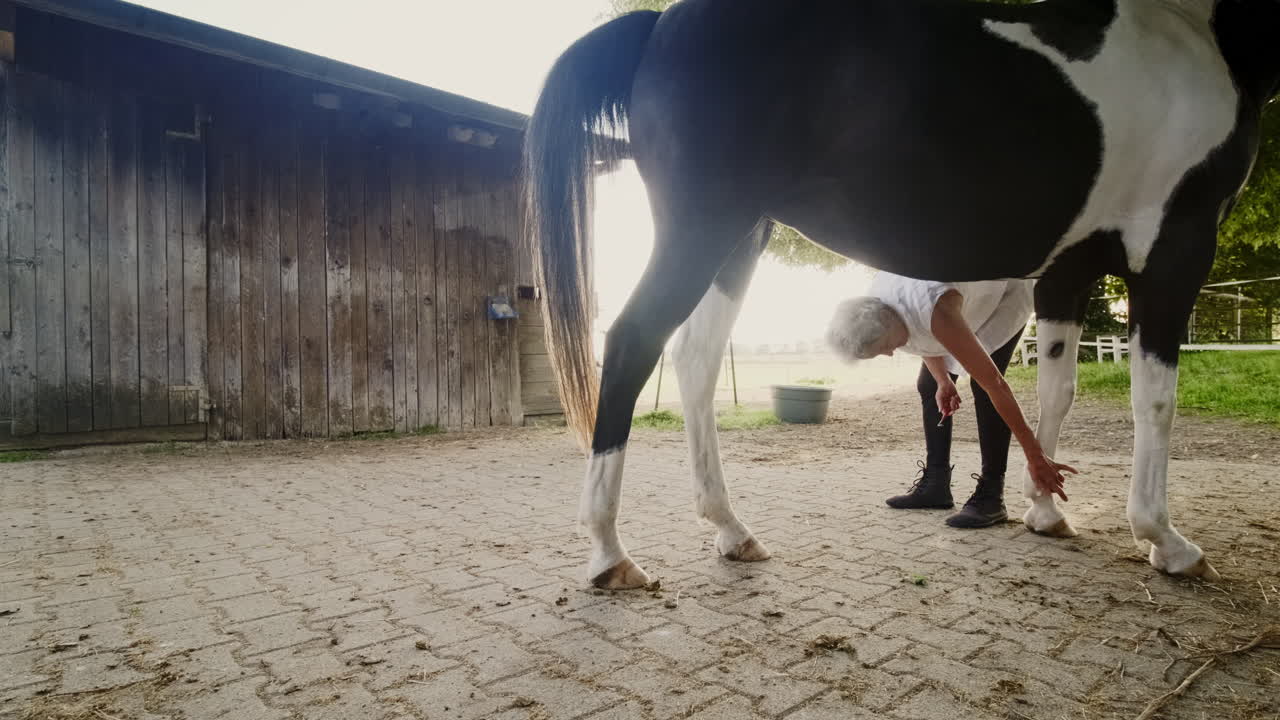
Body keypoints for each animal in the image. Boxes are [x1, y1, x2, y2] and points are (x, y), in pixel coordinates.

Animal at [523, 0, 1280, 589]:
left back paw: (731, 530)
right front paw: (1166, 541)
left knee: (694, 361)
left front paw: (1046, 507)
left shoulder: (1066, 273)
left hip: (739, 237)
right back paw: (609, 554)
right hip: (703, 225)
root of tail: (658, 26)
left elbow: (1054, 392)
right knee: (633, 342)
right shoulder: (1174, 254)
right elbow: (1155, 401)